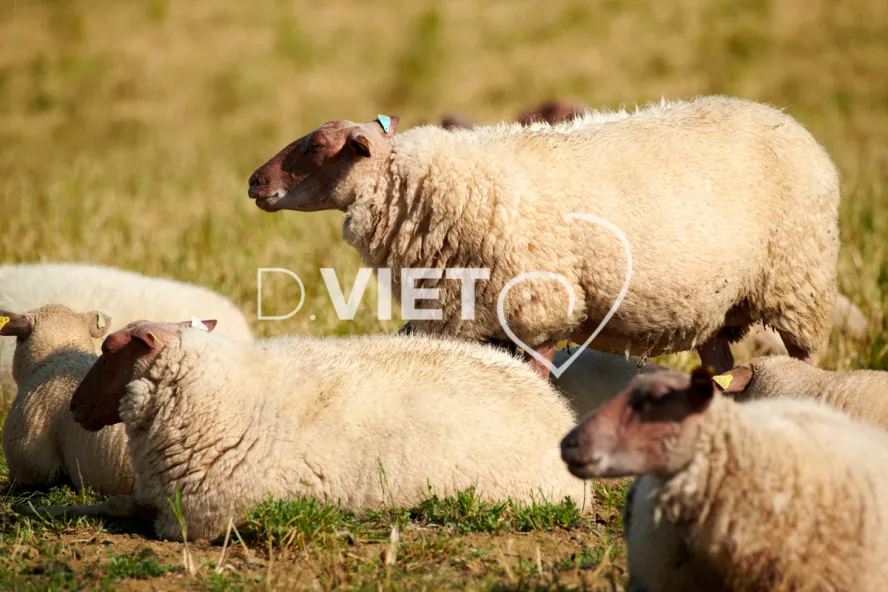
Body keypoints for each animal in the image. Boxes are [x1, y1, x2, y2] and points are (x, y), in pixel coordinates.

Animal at [23, 320, 590, 541]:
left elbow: (123, 511)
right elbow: (113, 503)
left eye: (110, 350)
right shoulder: (157, 496)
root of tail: (557, 410)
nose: (74, 405)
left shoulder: (199, 519)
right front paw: (48, 511)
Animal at [246, 95, 841, 379]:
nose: (254, 182)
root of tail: (791, 124)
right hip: (716, 308)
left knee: (806, 358)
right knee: (720, 366)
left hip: (800, 284)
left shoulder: (539, 307)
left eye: (316, 146)